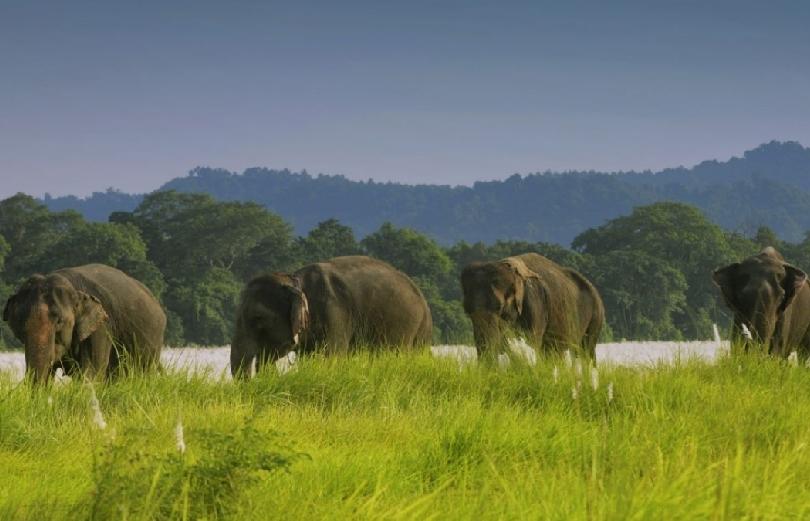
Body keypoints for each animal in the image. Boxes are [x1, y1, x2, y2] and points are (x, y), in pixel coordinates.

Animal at [461, 253, 605, 358]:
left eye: (500, 307)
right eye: (467, 310)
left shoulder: (535, 304)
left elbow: (532, 342)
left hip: (597, 315)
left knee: (586, 351)